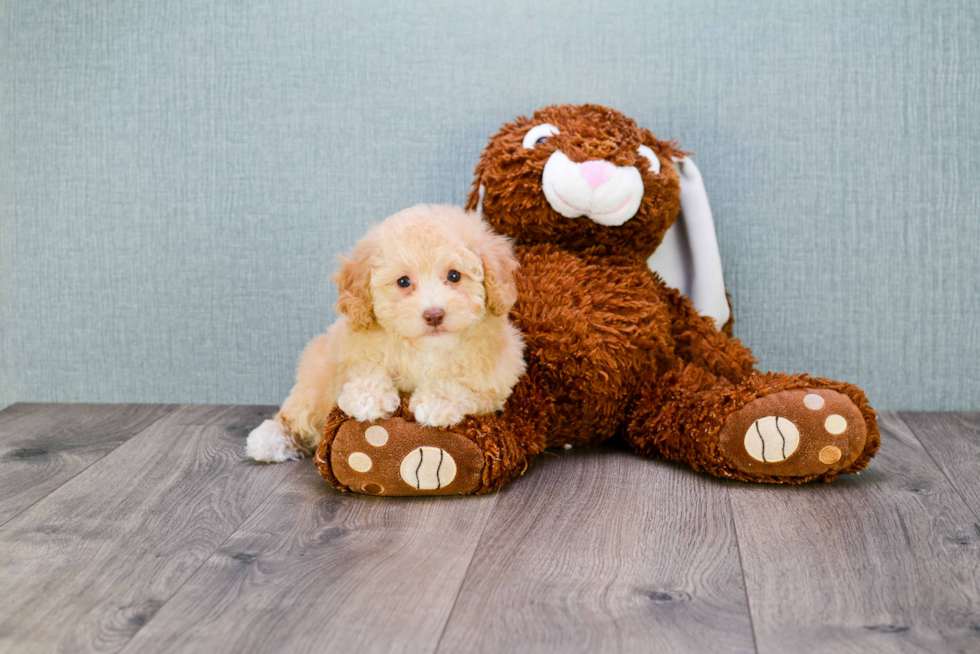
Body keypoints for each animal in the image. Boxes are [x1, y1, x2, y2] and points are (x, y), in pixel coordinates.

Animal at [249, 204, 524, 462]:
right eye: (403, 282)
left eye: (454, 275)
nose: (434, 314)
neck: (425, 349)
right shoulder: (351, 348)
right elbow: (363, 368)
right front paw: (368, 397)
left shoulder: (496, 375)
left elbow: (465, 384)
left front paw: (436, 402)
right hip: (314, 380)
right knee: (295, 416)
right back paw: (270, 439)